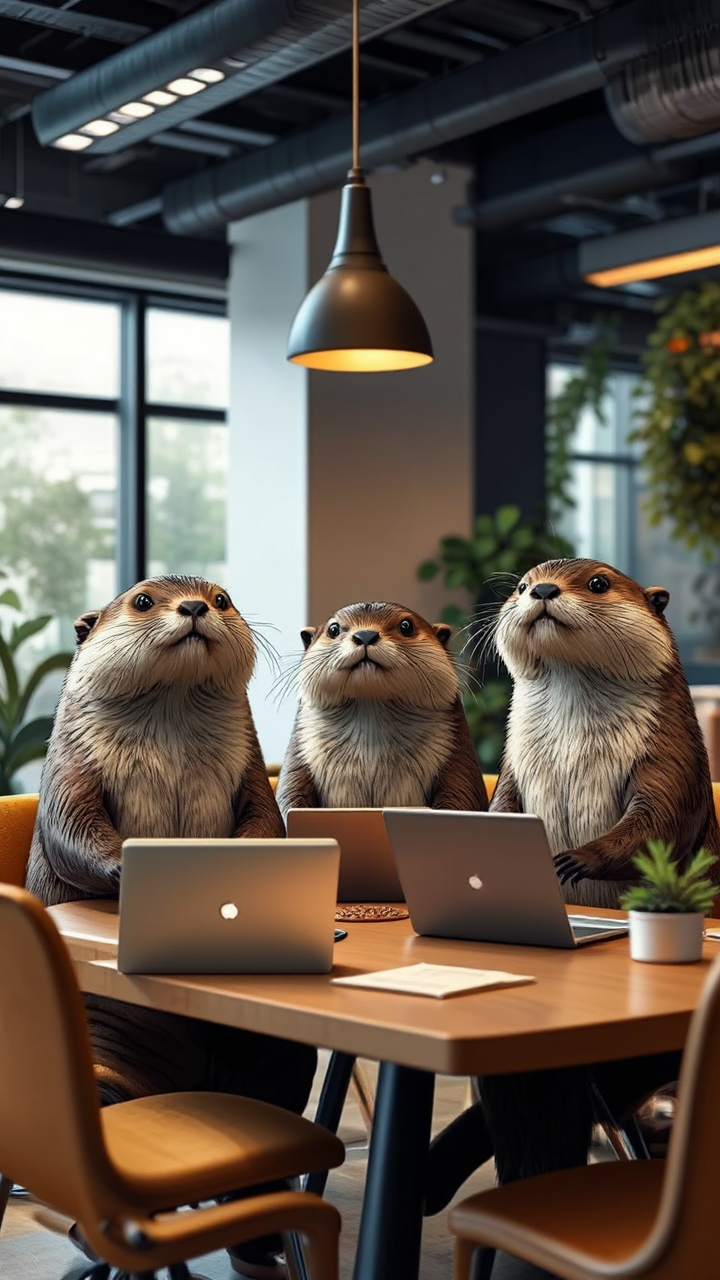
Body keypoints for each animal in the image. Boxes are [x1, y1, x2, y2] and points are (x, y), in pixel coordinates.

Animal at [26, 575, 317, 1274]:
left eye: (222, 597)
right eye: (141, 601)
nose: (193, 607)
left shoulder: (250, 766)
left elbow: (266, 820)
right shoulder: (72, 762)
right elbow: (74, 829)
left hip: (276, 1057)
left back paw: (260, 1245)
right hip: (103, 1071)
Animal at [276, 601, 489, 817]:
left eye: (406, 626)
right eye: (333, 629)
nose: (365, 635)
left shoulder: (458, 761)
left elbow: (461, 796)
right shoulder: (299, 759)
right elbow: (288, 795)